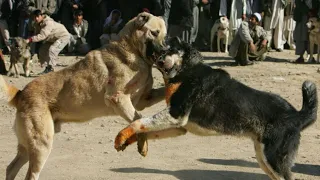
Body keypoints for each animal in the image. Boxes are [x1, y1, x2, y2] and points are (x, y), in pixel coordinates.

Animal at [0, 11, 168, 179]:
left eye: (164, 36)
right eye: (154, 33)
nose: (165, 51)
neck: (132, 51)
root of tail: (21, 94)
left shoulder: (143, 100)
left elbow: (156, 97)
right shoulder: (119, 99)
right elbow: (138, 119)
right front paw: (142, 145)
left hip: (29, 146)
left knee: (11, 168)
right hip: (41, 144)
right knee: (29, 174)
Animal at [115, 37, 318, 180]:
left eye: (169, 48)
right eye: (160, 47)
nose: (150, 45)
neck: (186, 71)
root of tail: (297, 115)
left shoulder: (175, 114)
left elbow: (139, 121)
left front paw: (120, 137)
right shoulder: (179, 126)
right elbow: (145, 128)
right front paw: (136, 143)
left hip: (273, 159)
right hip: (264, 159)